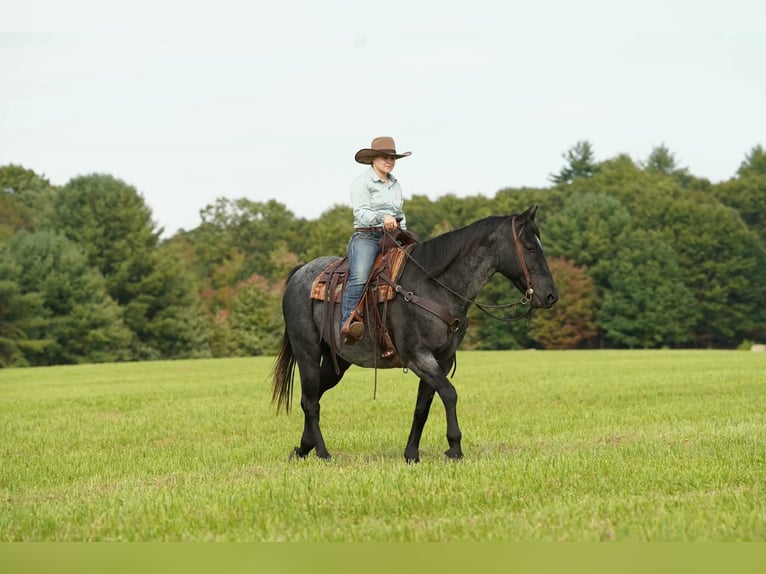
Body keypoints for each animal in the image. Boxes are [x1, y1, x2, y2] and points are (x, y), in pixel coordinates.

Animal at [271, 205, 558, 462]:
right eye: (530, 248)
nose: (551, 296)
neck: (432, 287)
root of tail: (299, 274)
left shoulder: (441, 359)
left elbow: (423, 405)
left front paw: (411, 454)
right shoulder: (418, 356)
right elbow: (449, 393)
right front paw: (454, 448)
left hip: (336, 361)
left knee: (313, 395)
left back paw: (303, 448)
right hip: (307, 350)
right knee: (311, 402)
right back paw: (322, 453)